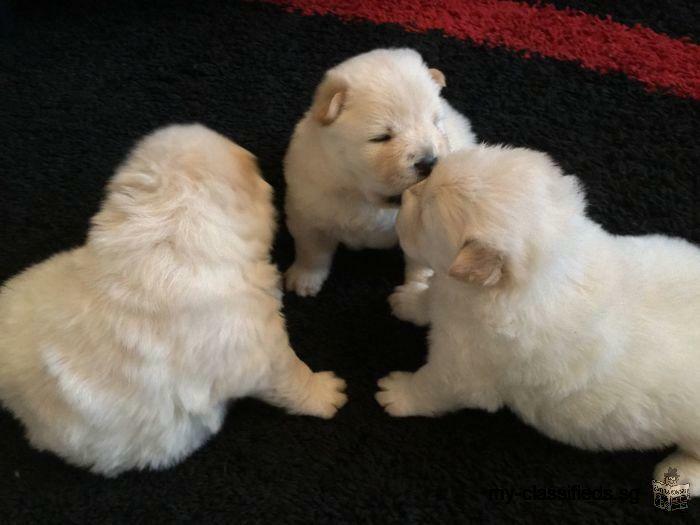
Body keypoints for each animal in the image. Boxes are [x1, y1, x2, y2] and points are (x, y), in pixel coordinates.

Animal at [284, 47, 476, 296]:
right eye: (381, 137)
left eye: (435, 122)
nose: (429, 162)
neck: (369, 201)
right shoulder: (308, 212)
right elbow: (312, 251)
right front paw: (304, 280)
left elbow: (421, 266)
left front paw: (417, 290)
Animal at [380, 145, 700, 494]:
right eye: (428, 178)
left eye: (425, 214)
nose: (405, 195)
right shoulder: (449, 292)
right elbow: (430, 297)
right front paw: (409, 300)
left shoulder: (464, 370)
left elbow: (431, 384)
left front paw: (397, 393)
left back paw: (677, 475)